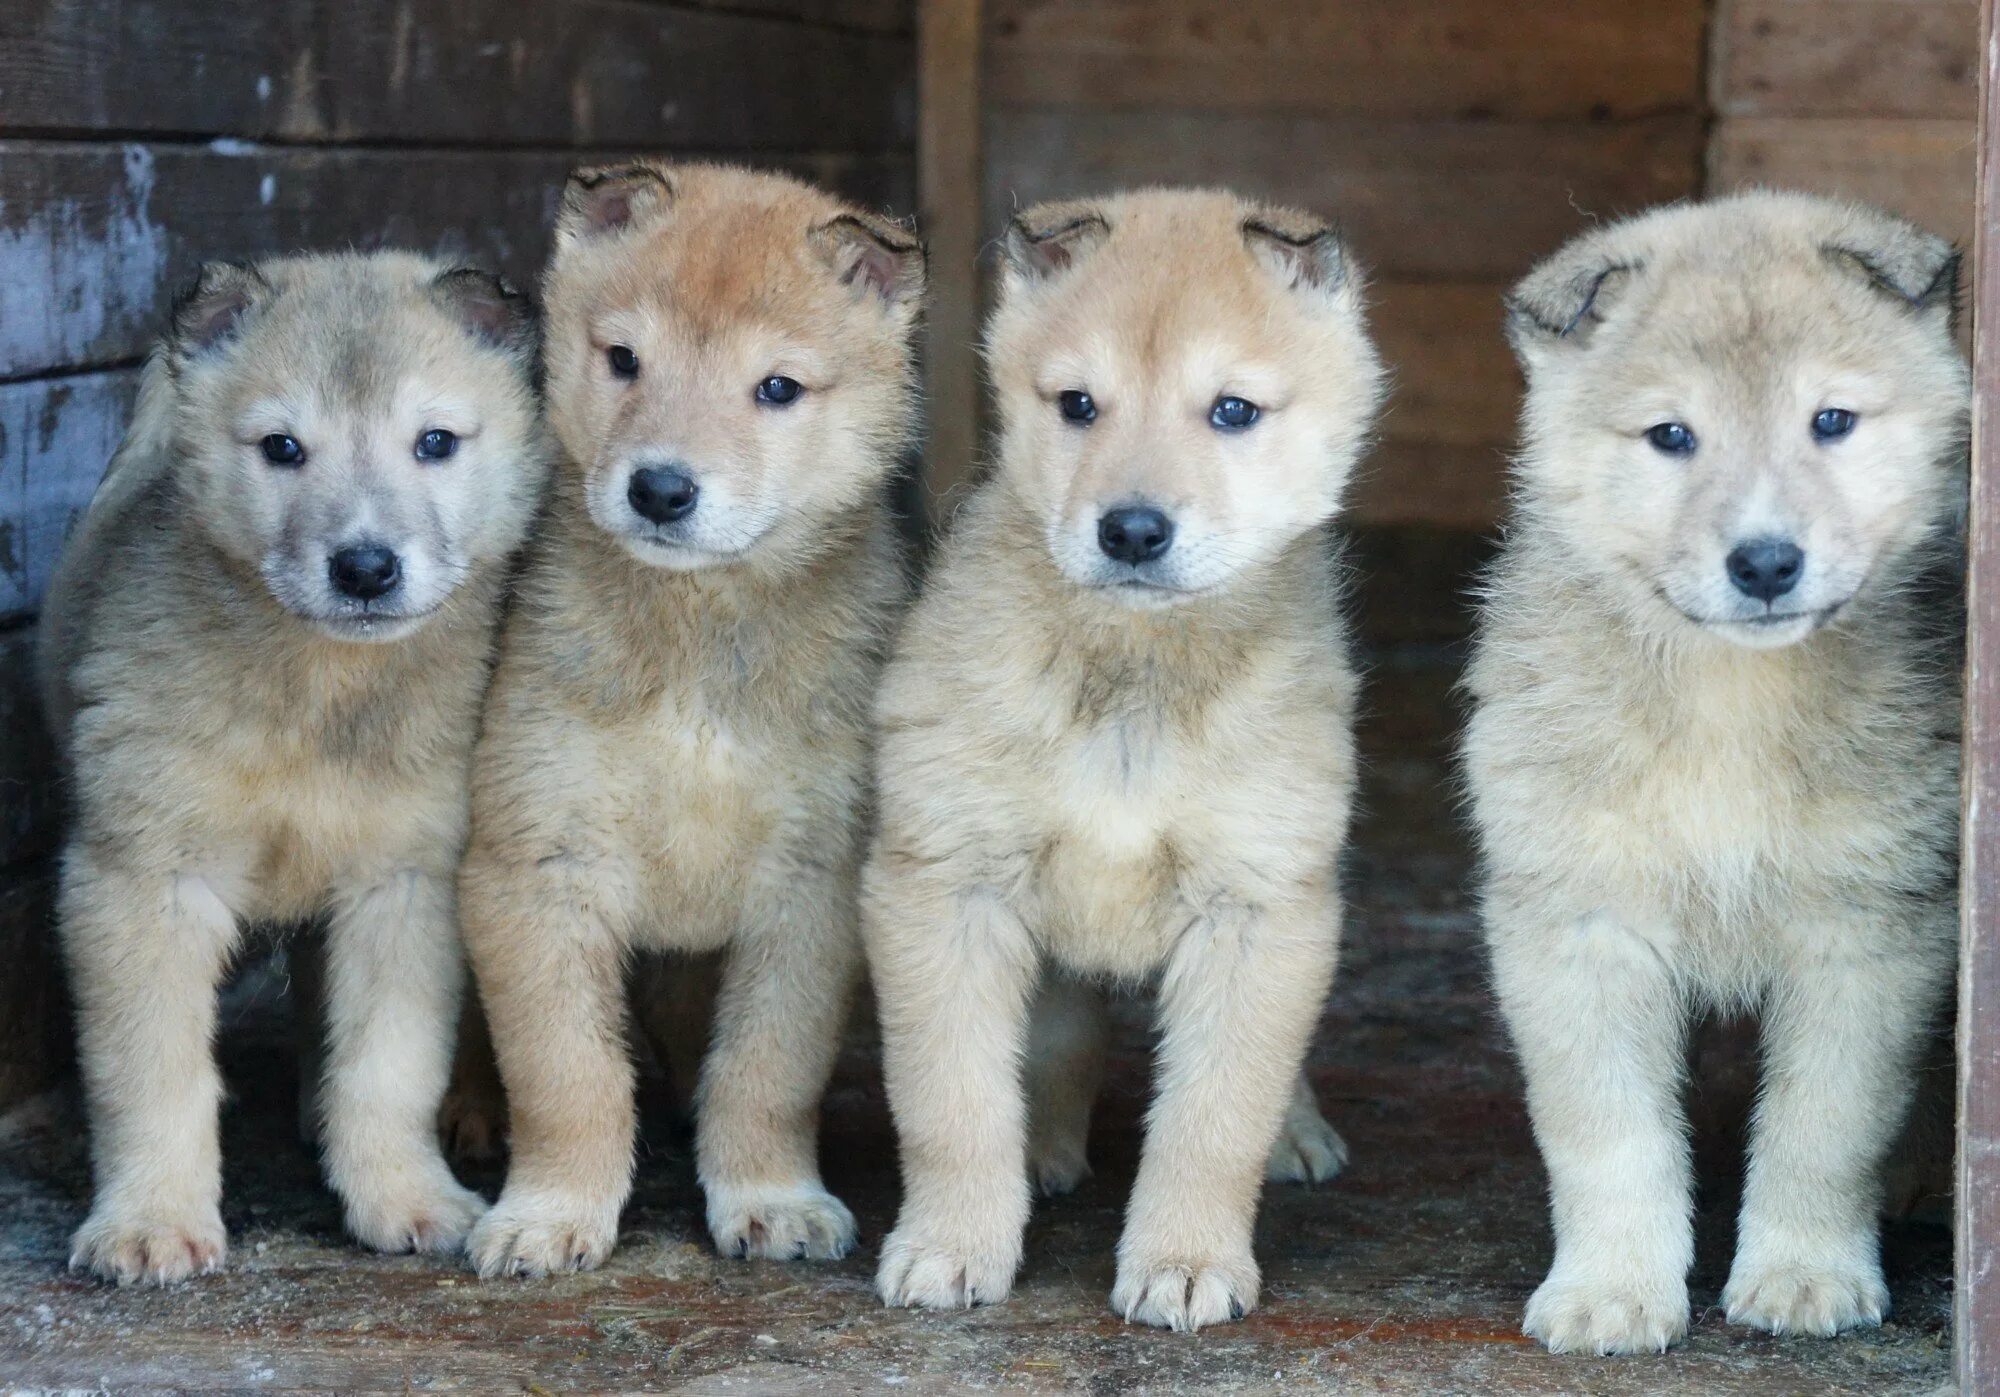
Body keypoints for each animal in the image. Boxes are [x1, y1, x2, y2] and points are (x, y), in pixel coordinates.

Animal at [45, 253, 548, 1280]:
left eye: (435, 442)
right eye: (282, 448)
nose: (365, 568)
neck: (318, 692)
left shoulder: (402, 880)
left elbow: (388, 1063)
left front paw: (401, 1193)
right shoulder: (141, 881)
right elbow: (151, 1072)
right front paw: (151, 1220)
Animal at [460, 160, 920, 1272]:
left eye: (777, 388)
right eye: (624, 359)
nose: (661, 488)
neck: (697, 636)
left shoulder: (809, 887)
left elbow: (766, 1071)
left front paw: (770, 1196)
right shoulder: (533, 867)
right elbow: (565, 1077)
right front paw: (549, 1211)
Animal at [868, 188, 1384, 1328]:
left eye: (1231, 411)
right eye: (1077, 405)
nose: (1133, 530)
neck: (1135, 676)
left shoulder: (1260, 905)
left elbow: (1214, 1115)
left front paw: (1186, 1260)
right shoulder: (944, 887)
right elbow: (951, 1100)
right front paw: (951, 1244)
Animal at [1464, 190, 1976, 1344]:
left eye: (1829, 421)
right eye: (1671, 436)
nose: (1766, 561)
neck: (1729, 701)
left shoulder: (1869, 927)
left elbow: (1824, 1127)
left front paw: (1802, 1275)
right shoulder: (1579, 920)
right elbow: (1606, 1134)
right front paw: (1611, 1288)